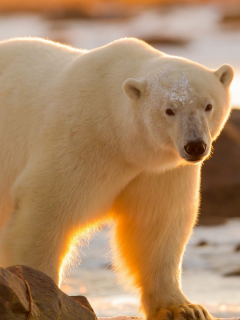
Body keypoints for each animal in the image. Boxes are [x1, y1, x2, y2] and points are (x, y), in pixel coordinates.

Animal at [0, 37, 234, 318]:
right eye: (169, 110)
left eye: (208, 105)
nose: (195, 146)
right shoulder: (77, 141)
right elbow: (46, 210)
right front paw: (45, 293)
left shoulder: (159, 171)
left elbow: (157, 224)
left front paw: (185, 308)